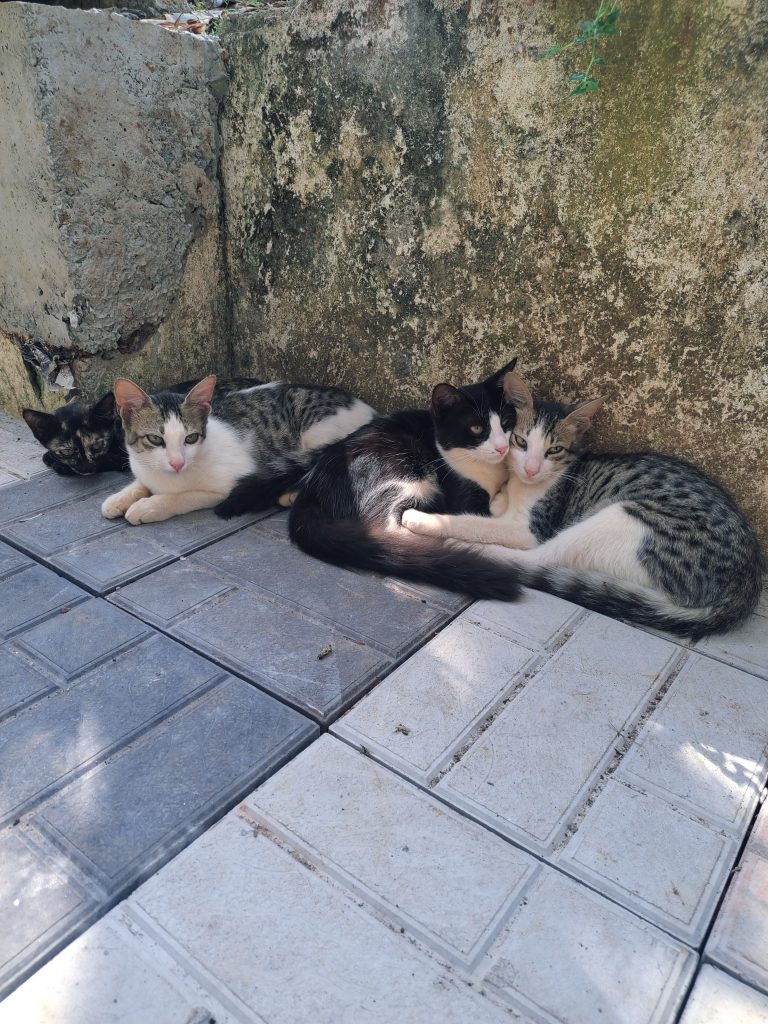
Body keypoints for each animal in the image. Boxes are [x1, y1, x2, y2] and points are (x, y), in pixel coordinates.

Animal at [100, 374, 376, 524]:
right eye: (156, 440)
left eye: (191, 438)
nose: (177, 463)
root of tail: (370, 411)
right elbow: (140, 482)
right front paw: (118, 499)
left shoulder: (229, 484)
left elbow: (184, 496)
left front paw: (148, 507)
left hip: (317, 434)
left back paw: (291, 493)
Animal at [286, 360, 524, 598]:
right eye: (477, 428)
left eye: (506, 421)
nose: (502, 447)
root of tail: (310, 493)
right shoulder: (459, 490)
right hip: (402, 469)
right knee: (385, 525)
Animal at [403, 372, 765, 634]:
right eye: (520, 441)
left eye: (554, 450)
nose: (530, 468)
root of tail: (746, 582)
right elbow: (494, 507)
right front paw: (499, 495)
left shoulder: (531, 529)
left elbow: (475, 522)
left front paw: (426, 519)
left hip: (622, 517)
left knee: (538, 558)